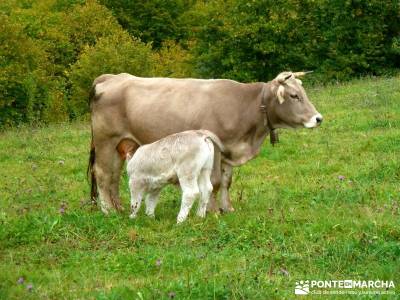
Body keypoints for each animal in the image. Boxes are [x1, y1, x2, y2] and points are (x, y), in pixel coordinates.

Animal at [87, 72, 322, 214]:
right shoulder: (215, 148)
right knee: (103, 174)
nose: (318, 118)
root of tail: (112, 77)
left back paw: (119, 207)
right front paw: (212, 210)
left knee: (114, 175)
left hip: (120, 144)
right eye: (294, 95)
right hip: (105, 140)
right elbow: (215, 182)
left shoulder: (229, 149)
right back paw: (108, 210)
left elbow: (227, 182)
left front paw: (228, 209)